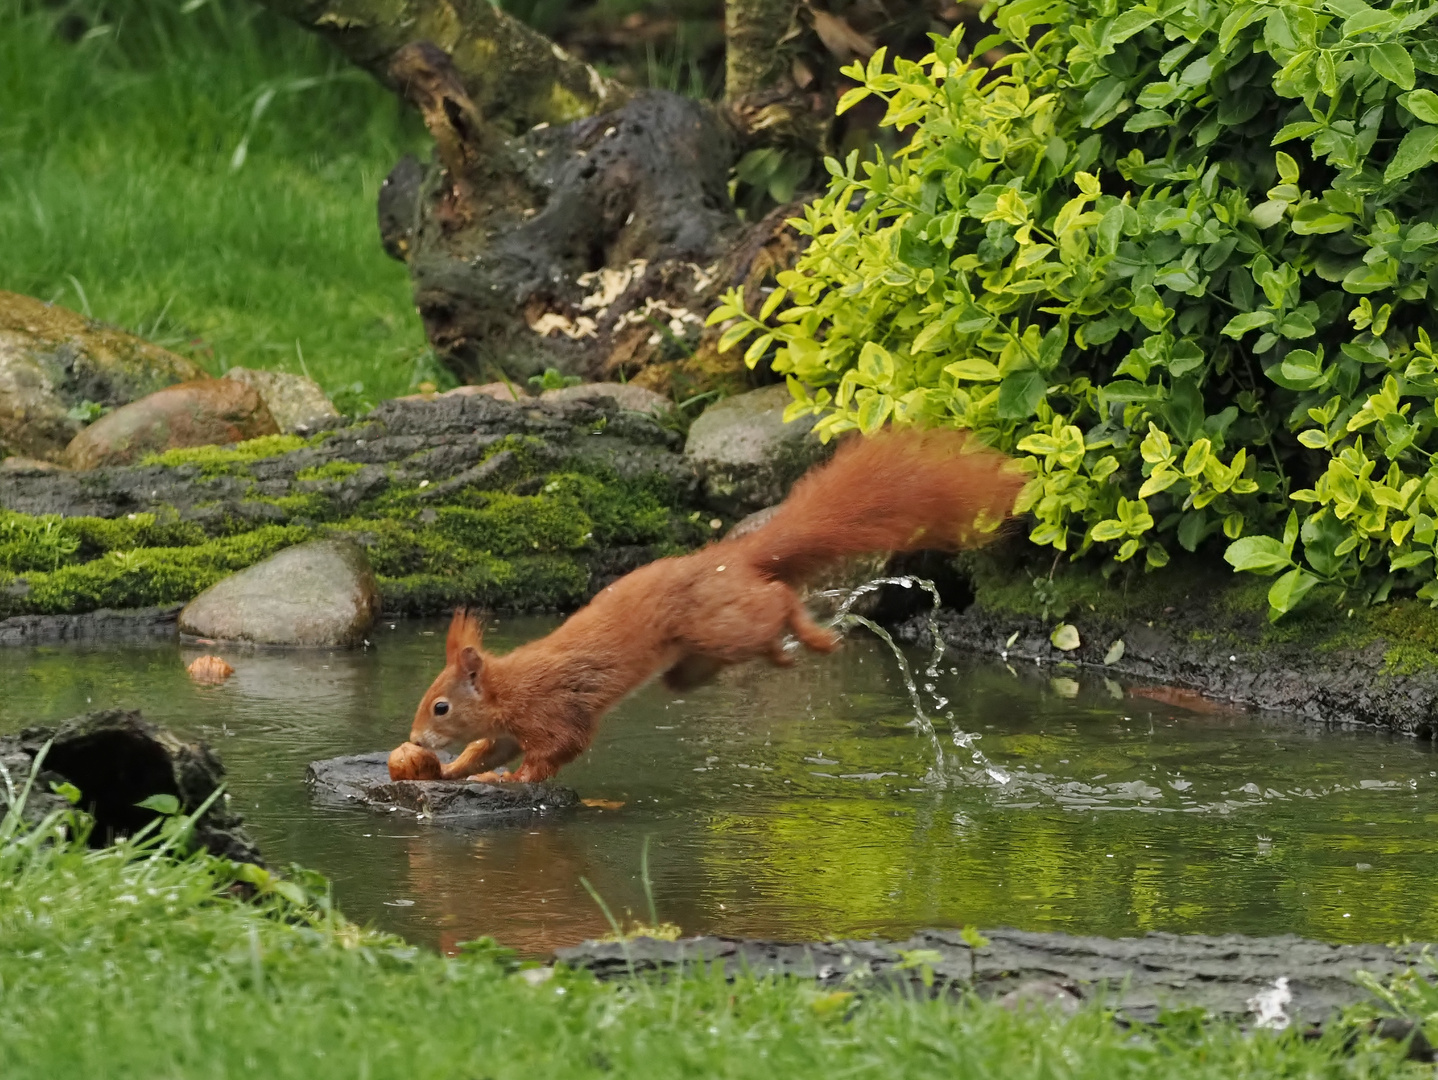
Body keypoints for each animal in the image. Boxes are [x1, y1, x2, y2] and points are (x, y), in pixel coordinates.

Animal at [394, 428, 1023, 788]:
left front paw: (514, 779)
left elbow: (557, 750)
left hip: (723, 623)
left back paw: (811, 638)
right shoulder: (507, 728)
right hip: (694, 660)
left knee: (778, 600)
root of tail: (726, 559)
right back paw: (786, 654)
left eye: (441, 707)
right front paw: (451, 770)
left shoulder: (553, 711)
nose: (418, 740)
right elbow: (486, 750)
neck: (508, 686)